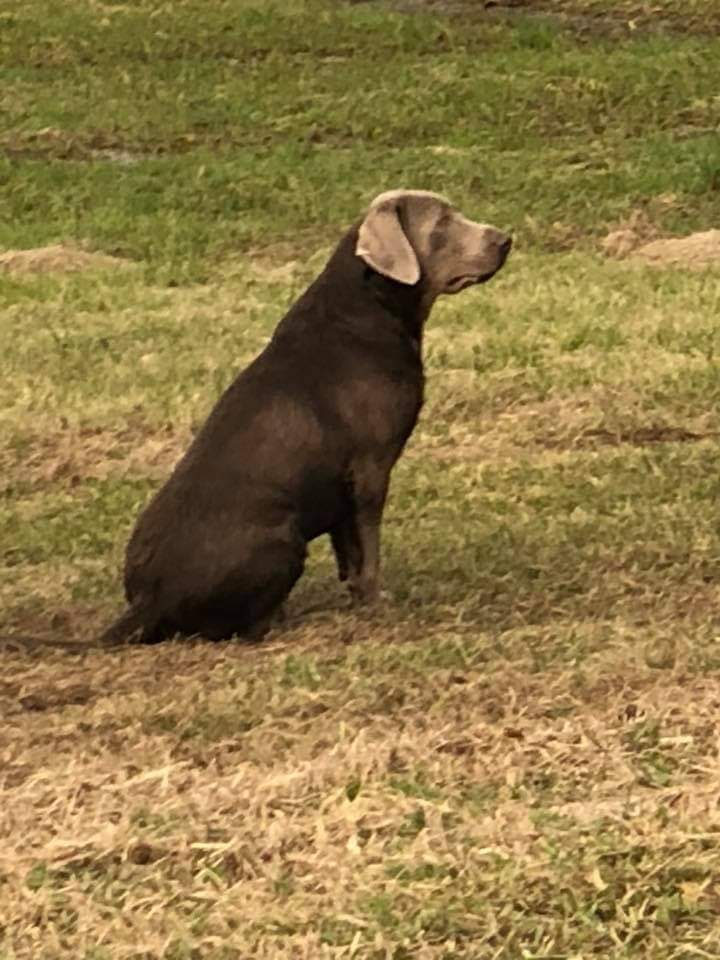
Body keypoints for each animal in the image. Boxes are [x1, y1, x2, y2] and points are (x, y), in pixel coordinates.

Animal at [98, 189, 510, 644]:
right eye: (441, 225)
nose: (505, 240)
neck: (369, 306)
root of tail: (146, 599)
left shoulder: (341, 488)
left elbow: (348, 551)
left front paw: (357, 596)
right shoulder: (371, 467)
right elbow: (368, 544)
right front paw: (378, 602)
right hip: (284, 537)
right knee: (246, 628)